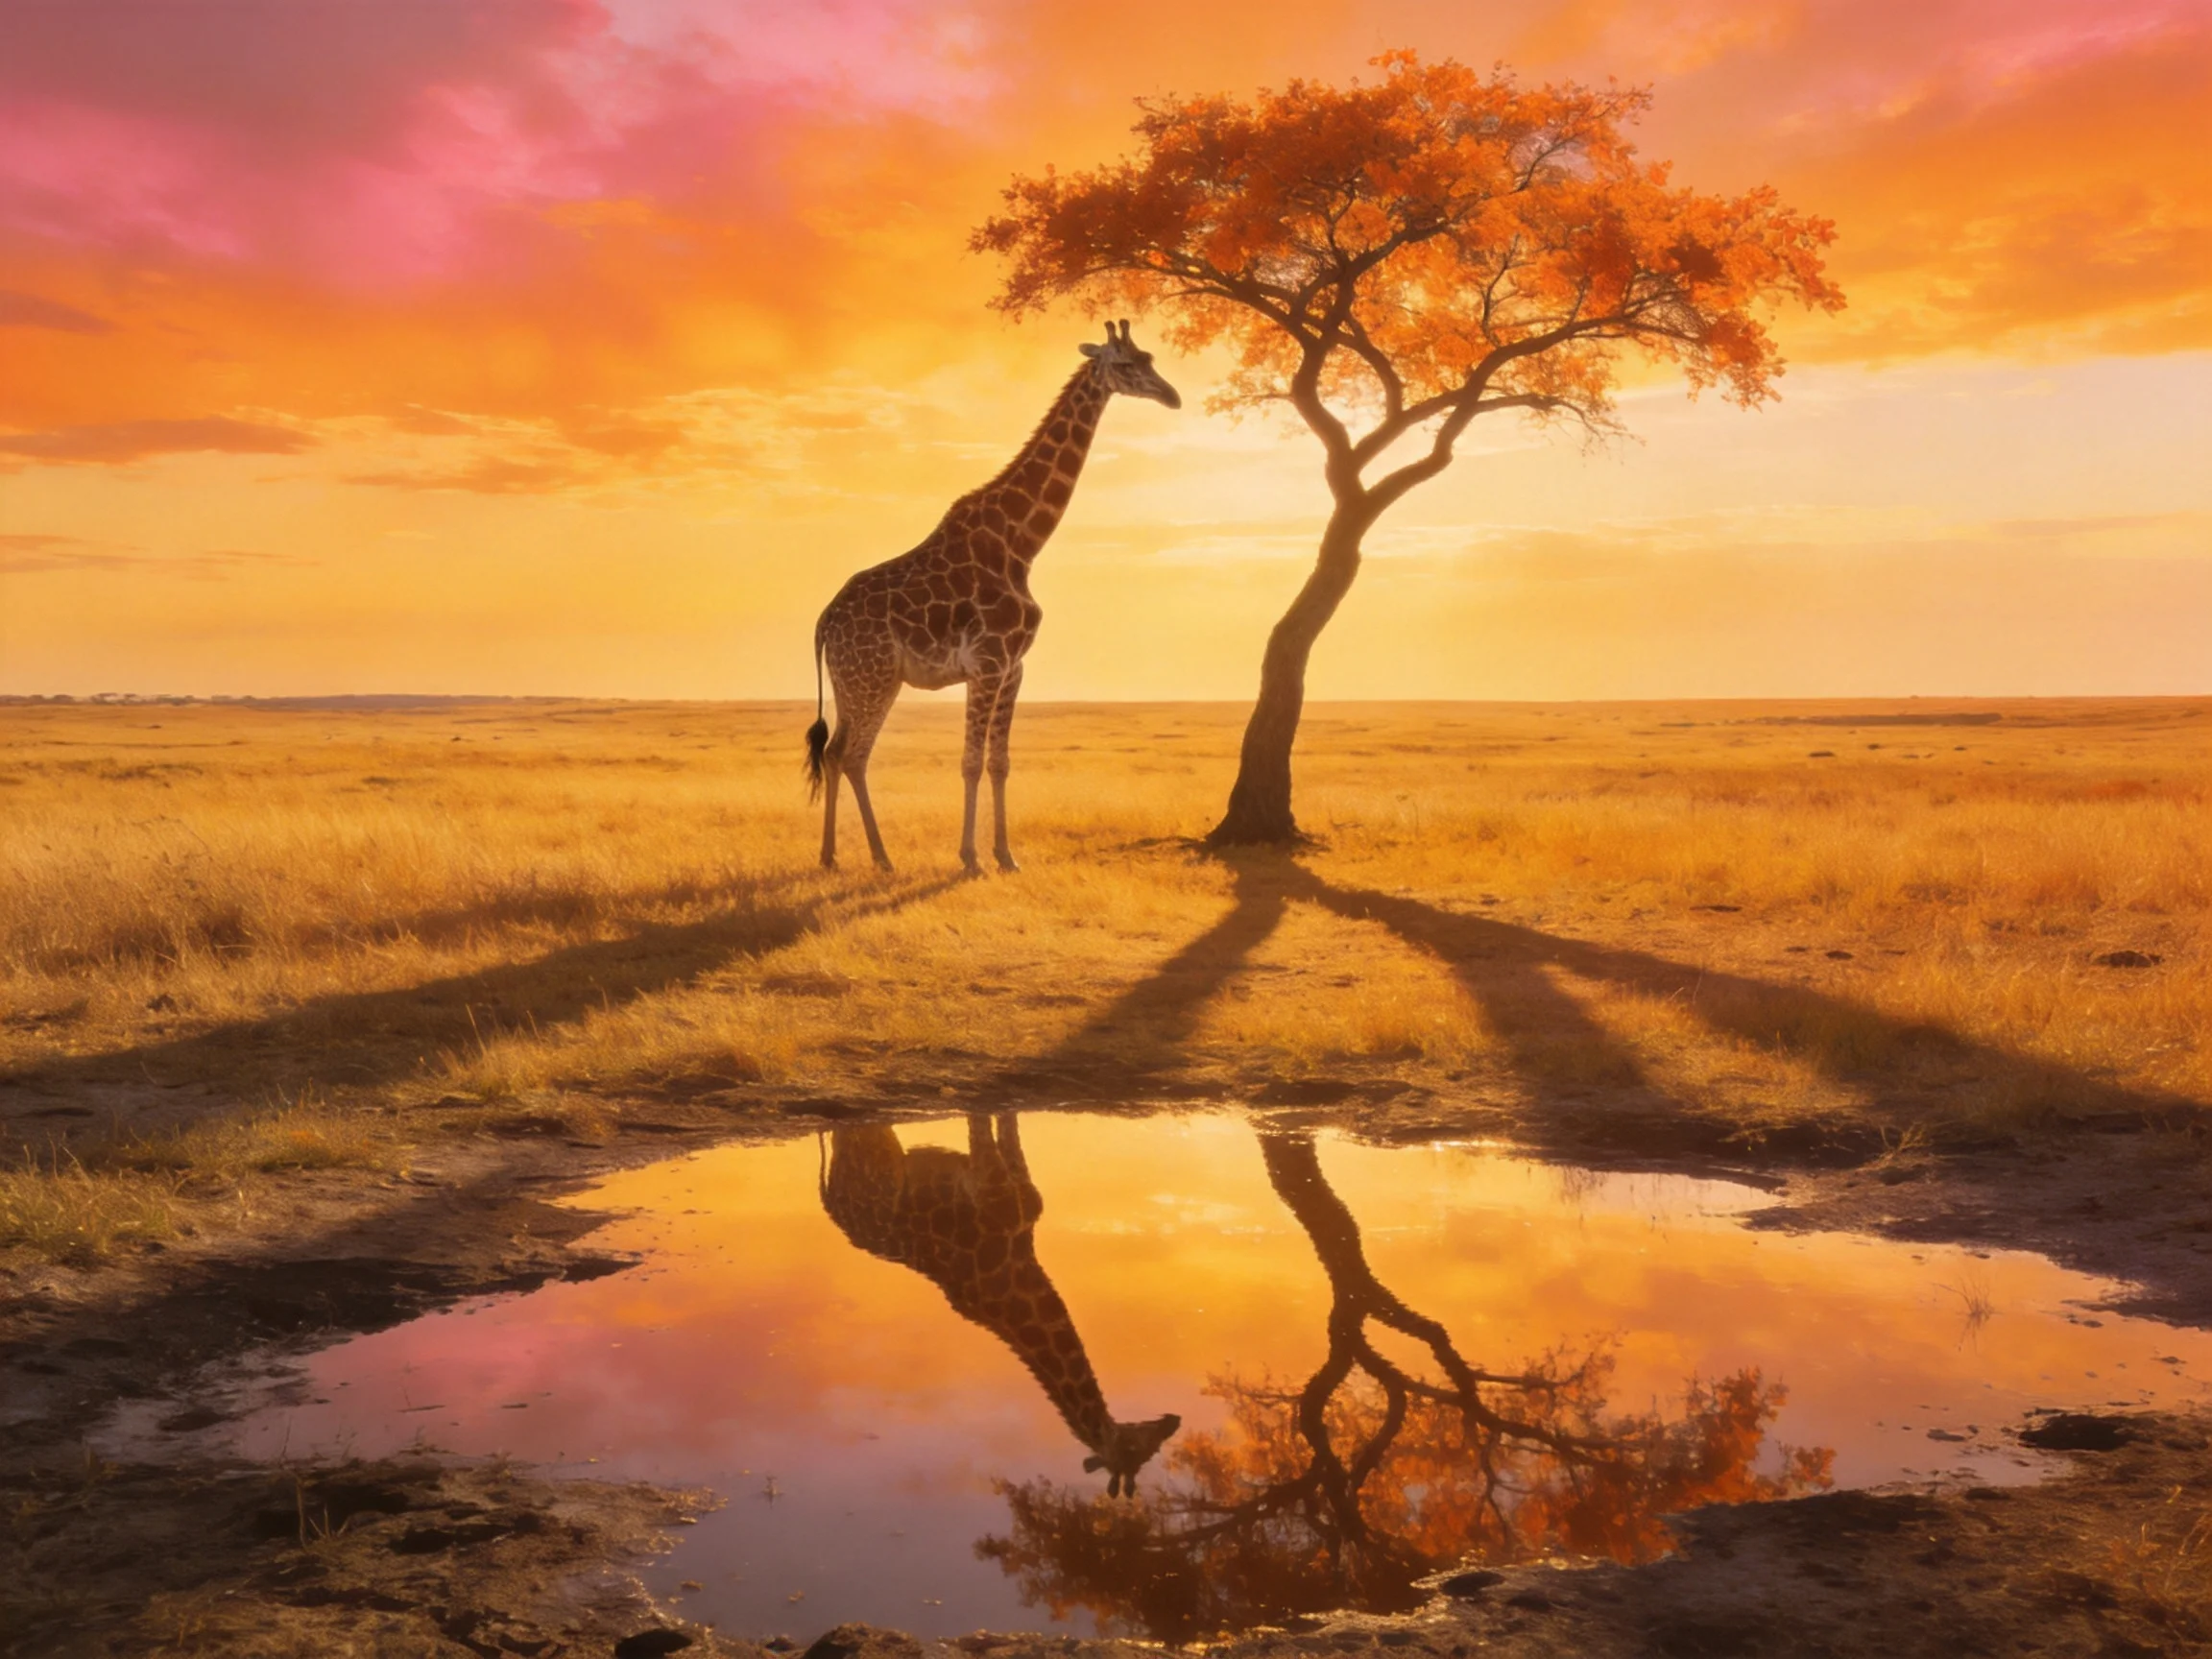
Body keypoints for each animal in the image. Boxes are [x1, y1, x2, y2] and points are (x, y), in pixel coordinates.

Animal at [805, 321, 1181, 874]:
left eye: (1151, 358)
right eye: (1126, 364)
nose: (1172, 395)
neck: (1022, 543)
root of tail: (825, 622)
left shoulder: (1013, 666)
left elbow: (1000, 762)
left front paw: (1006, 855)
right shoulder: (987, 662)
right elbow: (970, 762)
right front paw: (970, 857)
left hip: (864, 678)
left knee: (838, 753)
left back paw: (837, 856)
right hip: (868, 677)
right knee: (849, 754)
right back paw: (878, 857)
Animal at [820, 1111, 1182, 1496]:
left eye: (1150, 1454)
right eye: (1133, 1448)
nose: (1173, 1421)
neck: (1016, 1256)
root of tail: (832, 1203)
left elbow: (1009, 1124)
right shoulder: (983, 1173)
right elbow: (980, 1116)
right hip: (875, 1150)